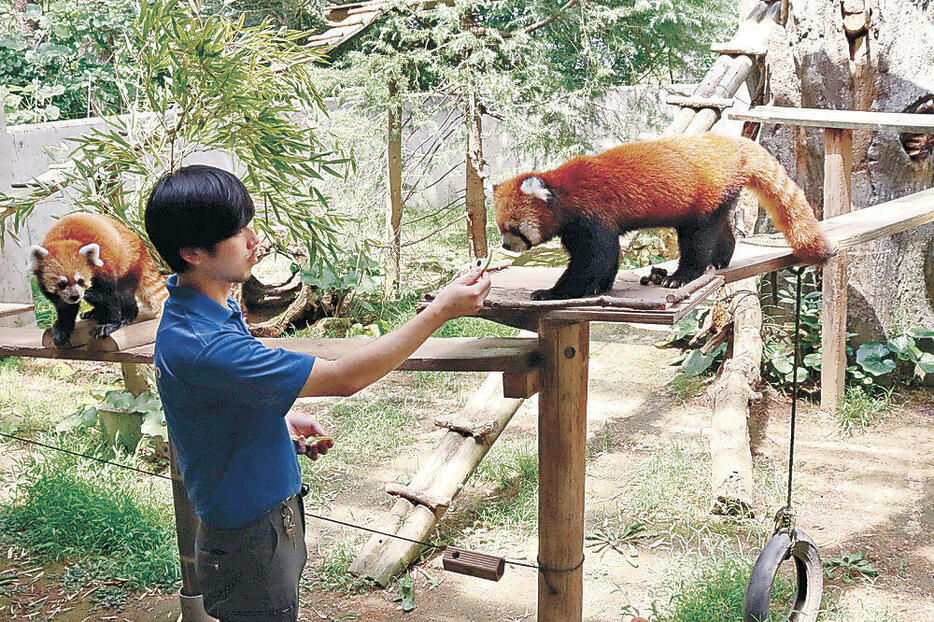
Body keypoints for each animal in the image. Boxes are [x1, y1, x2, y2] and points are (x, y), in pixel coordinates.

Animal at [31, 213, 169, 348]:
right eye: (61, 284)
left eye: (80, 281)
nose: (75, 296)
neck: (63, 240)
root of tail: (142, 246)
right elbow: (65, 308)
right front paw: (62, 328)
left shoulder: (104, 269)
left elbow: (109, 298)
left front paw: (110, 324)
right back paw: (94, 312)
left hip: (128, 266)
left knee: (124, 295)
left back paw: (126, 316)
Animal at [494, 134, 836, 302]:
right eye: (500, 228)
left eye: (513, 229)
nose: (506, 246)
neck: (563, 191)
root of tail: (732, 144)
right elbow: (608, 257)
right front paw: (600, 286)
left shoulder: (592, 216)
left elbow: (594, 258)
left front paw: (552, 292)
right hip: (722, 193)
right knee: (721, 228)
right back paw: (722, 259)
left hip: (703, 196)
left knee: (697, 239)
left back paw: (682, 275)